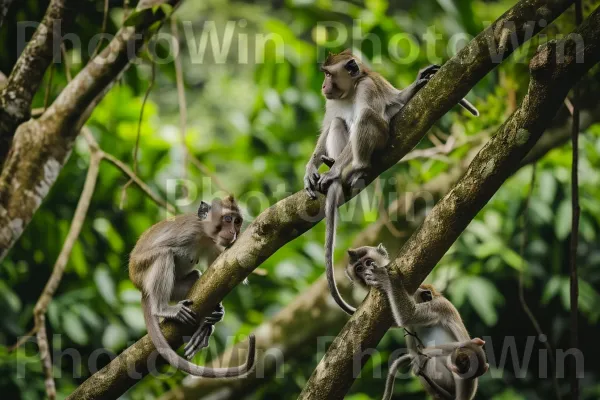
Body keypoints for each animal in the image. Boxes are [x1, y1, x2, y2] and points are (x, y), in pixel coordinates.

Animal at [129, 197, 255, 378]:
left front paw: (215, 314)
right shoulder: (187, 232)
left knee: (195, 276)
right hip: (141, 273)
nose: (233, 231)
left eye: (237, 221)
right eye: (227, 219)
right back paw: (162, 308)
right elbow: (162, 249)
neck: (204, 235)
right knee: (164, 254)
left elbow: (219, 275)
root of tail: (143, 291)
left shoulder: (215, 246)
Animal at [304, 49, 478, 316]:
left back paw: (355, 168)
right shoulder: (331, 101)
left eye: (328, 74)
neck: (351, 90)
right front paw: (311, 170)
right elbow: (327, 127)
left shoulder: (367, 88)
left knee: (367, 117)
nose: (323, 85)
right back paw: (334, 163)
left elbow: (382, 108)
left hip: (380, 138)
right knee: (337, 123)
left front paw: (331, 174)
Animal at [344, 244, 490, 400]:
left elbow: (409, 315)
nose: (366, 272)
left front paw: (386, 279)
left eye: (368, 262)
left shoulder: (438, 307)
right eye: (359, 269)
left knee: (432, 359)